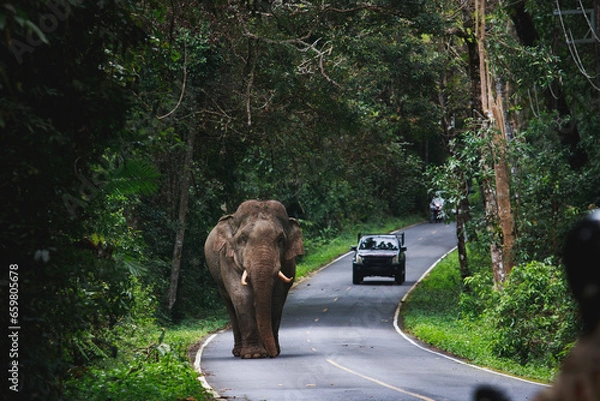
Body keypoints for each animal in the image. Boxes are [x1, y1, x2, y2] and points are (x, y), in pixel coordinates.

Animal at [205, 198, 304, 358]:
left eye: (280, 239)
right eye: (243, 238)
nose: (272, 353)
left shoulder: (288, 262)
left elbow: (277, 298)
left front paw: (270, 351)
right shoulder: (227, 259)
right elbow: (242, 295)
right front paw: (254, 355)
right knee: (230, 306)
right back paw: (238, 352)